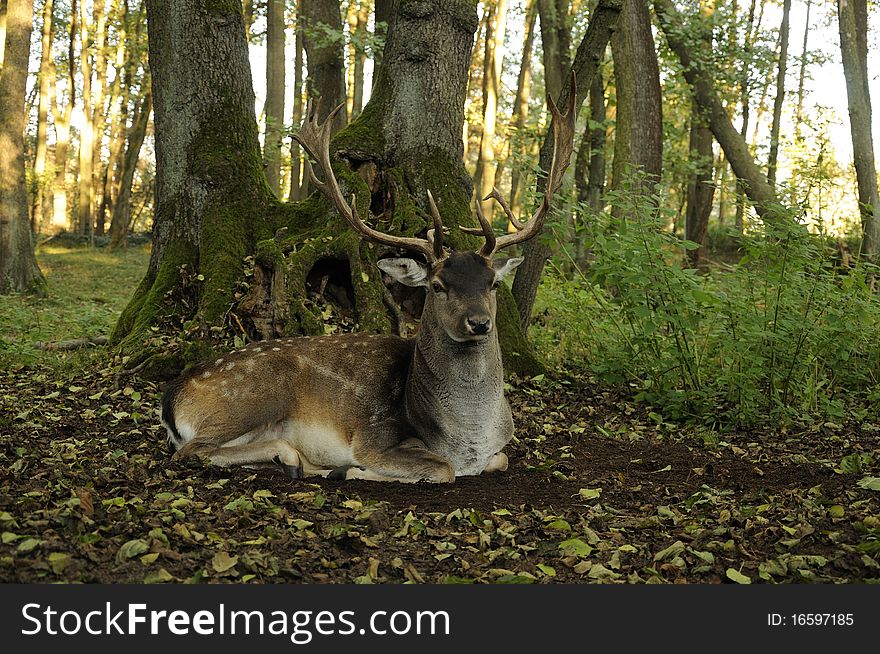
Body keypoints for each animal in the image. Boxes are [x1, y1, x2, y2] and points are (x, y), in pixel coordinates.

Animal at [162, 84, 576, 484]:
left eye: (492, 284)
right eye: (437, 285)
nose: (479, 322)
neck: (469, 438)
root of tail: (172, 396)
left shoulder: (497, 450)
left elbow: (502, 459)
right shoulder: (374, 436)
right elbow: (442, 469)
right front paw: (353, 469)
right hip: (251, 397)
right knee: (190, 451)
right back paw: (296, 459)